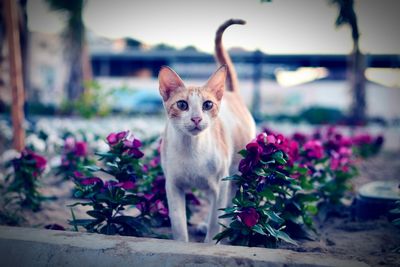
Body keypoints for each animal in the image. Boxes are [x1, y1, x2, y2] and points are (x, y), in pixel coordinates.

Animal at [157, 18, 255, 243]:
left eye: (207, 105)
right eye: (182, 105)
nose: (196, 118)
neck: (191, 149)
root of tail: (231, 93)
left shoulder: (220, 184)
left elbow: (215, 221)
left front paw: (211, 243)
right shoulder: (173, 186)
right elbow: (178, 225)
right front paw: (182, 244)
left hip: (238, 172)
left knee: (231, 203)